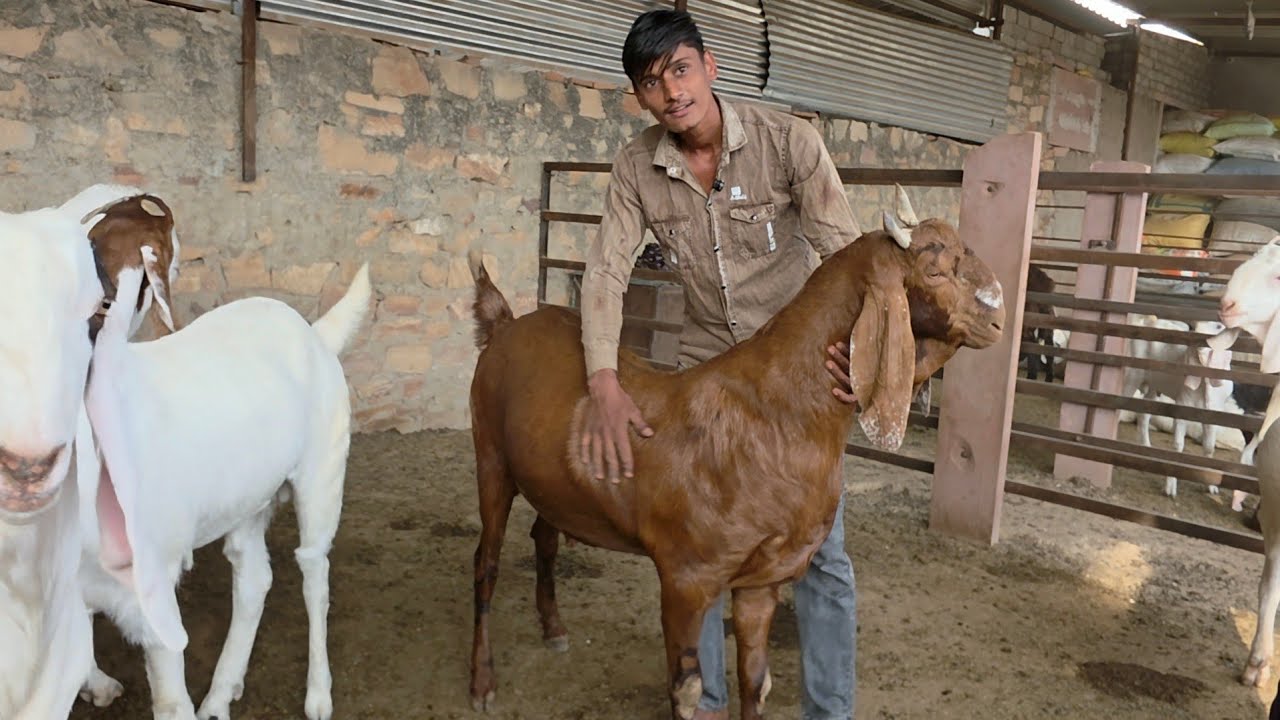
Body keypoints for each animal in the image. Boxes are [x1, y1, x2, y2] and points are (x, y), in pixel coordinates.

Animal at [72, 195, 372, 720]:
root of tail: (312, 333)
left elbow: (170, 699)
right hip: (247, 496)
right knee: (253, 577)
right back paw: (219, 695)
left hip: (322, 476)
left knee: (314, 571)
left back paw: (317, 694)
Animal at [465, 191, 1004, 720]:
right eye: (934, 271)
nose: (998, 318)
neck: (778, 416)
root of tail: (504, 325)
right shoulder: (686, 576)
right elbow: (686, 690)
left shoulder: (764, 578)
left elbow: (756, 681)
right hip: (490, 455)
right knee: (485, 563)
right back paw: (482, 681)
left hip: (551, 482)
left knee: (544, 536)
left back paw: (553, 628)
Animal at [1121, 315, 1234, 499]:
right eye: (1194, 328)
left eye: (1219, 327)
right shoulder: (1182, 406)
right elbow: (1177, 445)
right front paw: (1170, 487)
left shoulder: (1213, 413)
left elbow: (1209, 447)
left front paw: (1210, 485)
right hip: (1132, 375)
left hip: (1154, 386)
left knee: (1144, 415)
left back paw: (1146, 447)